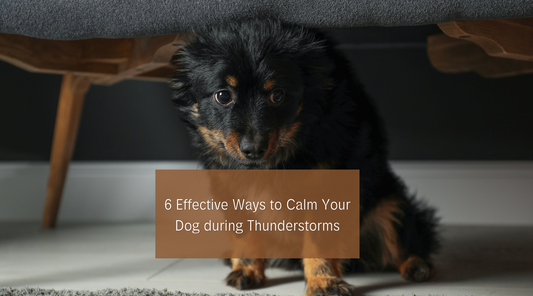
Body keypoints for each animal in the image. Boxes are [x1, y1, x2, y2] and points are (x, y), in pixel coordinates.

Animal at [168, 19, 438, 296]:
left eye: (277, 95)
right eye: (223, 95)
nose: (253, 149)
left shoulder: (328, 189)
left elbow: (319, 242)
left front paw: (323, 281)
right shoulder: (230, 186)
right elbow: (245, 234)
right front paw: (246, 269)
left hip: (390, 201)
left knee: (404, 242)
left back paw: (417, 266)